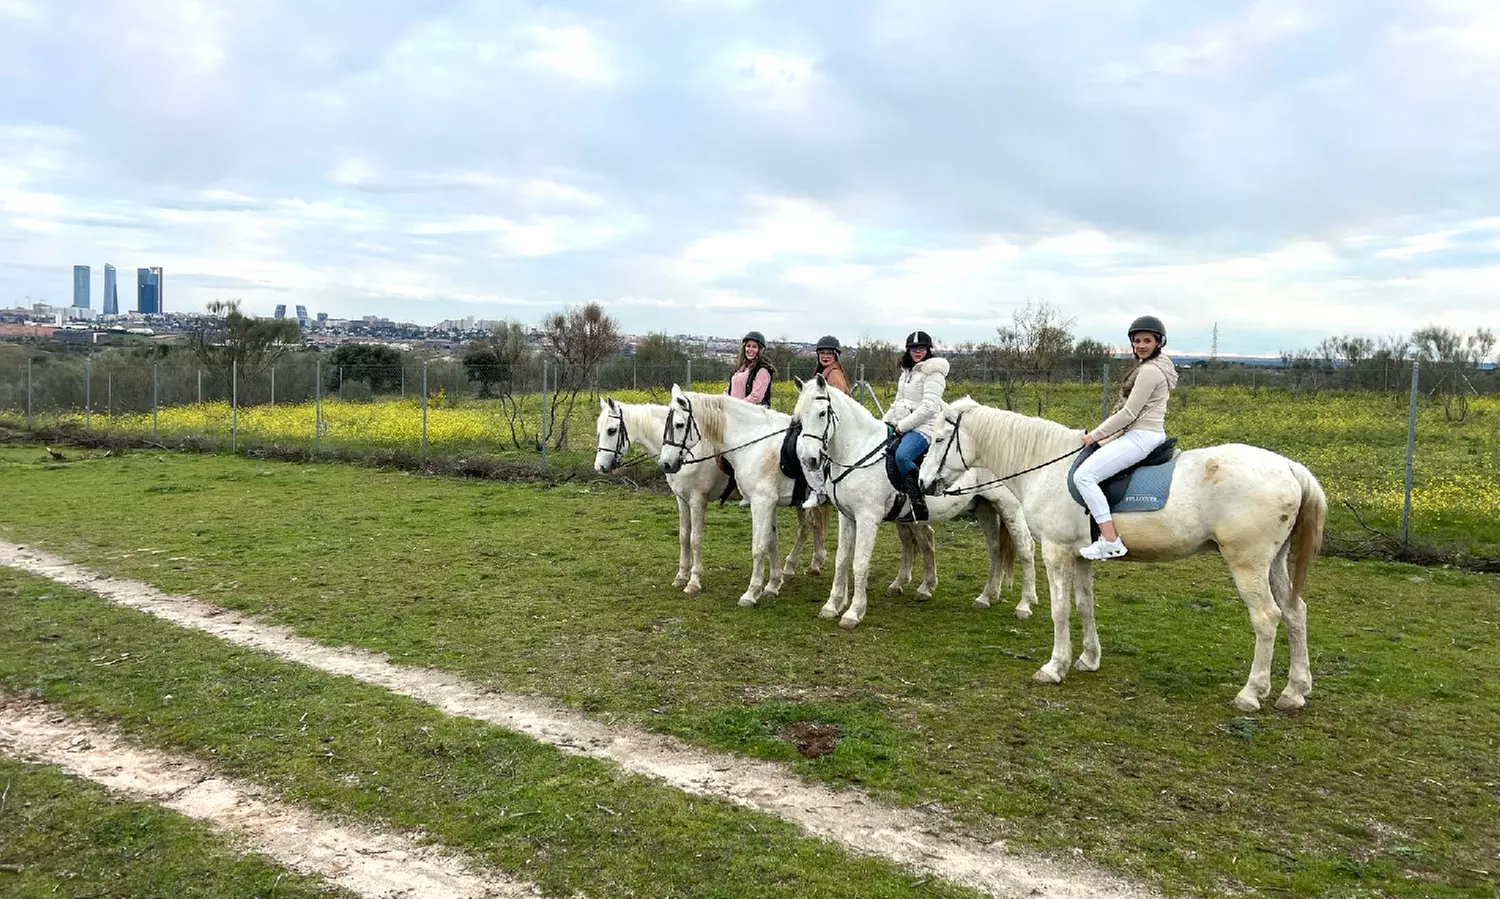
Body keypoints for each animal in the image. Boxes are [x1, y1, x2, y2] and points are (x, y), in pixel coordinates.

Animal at [594, 397, 829, 597]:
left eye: (611, 430)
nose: (600, 467)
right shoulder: (682, 499)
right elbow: (683, 536)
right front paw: (681, 576)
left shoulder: (698, 500)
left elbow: (695, 539)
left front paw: (694, 581)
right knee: (813, 525)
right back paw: (812, 564)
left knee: (808, 526)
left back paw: (796, 567)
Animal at [790, 375, 1039, 628]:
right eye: (799, 416)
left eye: (822, 413)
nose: (810, 460)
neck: (857, 452)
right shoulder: (847, 517)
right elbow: (841, 559)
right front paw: (832, 605)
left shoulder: (867, 518)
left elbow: (860, 562)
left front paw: (853, 612)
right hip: (984, 507)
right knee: (995, 548)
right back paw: (986, 596)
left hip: (1008, 507)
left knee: (1025, 548)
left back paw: (1024, 605)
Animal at [919, 397, 1327, 713]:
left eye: (938, 438)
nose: (922, 483)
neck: (1047, 465)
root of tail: (1290, 467)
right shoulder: (1080, 556)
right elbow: (1085, 607)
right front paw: (1088, 659)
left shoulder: (1055, 551)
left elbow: (1060, 610)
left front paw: (1054, 667)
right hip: (1274, 563)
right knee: (1296, 613)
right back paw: (1294, 691)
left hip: (1248, 564)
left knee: (1267, 618)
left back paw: (1251, 693)